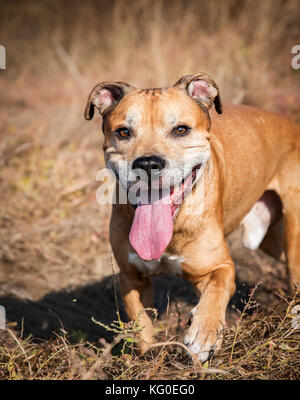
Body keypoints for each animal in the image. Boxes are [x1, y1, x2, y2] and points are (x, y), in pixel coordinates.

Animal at [84, 72, 300, 362]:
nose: (148, 164)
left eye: (181, 130)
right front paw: (147, 357)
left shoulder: (219, 267)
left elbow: (216, 292)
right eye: (123, 132)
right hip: (271, 241)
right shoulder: (132, 278)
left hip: (293, 237)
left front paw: (203, 334)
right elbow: (141, 326)